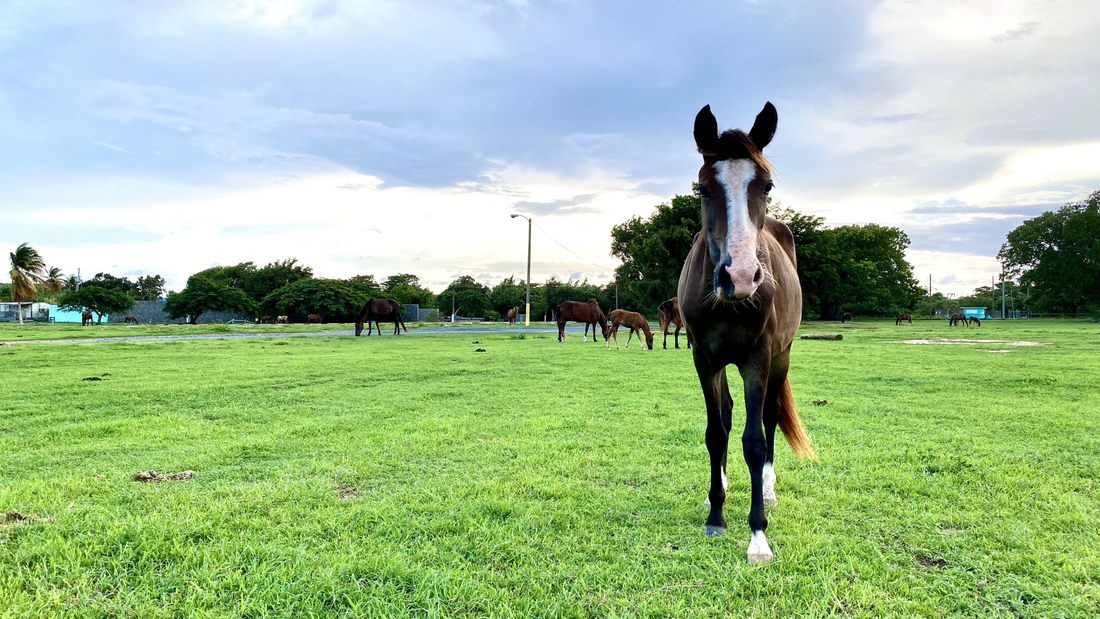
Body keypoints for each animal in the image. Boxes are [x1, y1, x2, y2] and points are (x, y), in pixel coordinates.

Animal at [677, 102, 818, 567]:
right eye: (702, 188)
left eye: (766, 185)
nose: (739, 276)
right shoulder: (704, 358)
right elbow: (715, 431)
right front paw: (716, 514)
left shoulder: (758, 357)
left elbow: (755, 441)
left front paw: (758, 535)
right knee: (726, 413)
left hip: (781, 357)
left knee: (770, 416)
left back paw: (769, 490)